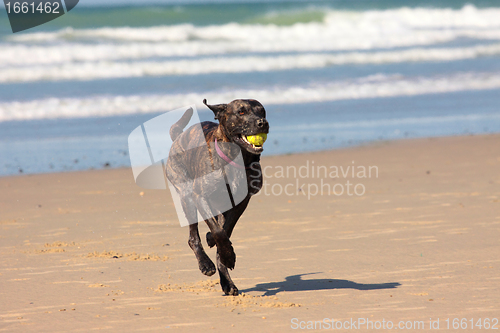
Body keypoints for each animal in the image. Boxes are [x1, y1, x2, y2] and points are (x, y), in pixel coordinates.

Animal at [165, 98, 270, 296]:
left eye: (262, 112)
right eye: (241, 112)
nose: (262, 123)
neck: (236, 159)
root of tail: (179, 136)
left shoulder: (240, 203)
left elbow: (224, 230)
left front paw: (225, 255)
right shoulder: (200, 197)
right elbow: (218, 231)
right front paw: (225, 253)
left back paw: (227, 282)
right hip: (186, 194)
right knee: (193, 237)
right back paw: (205, 264)